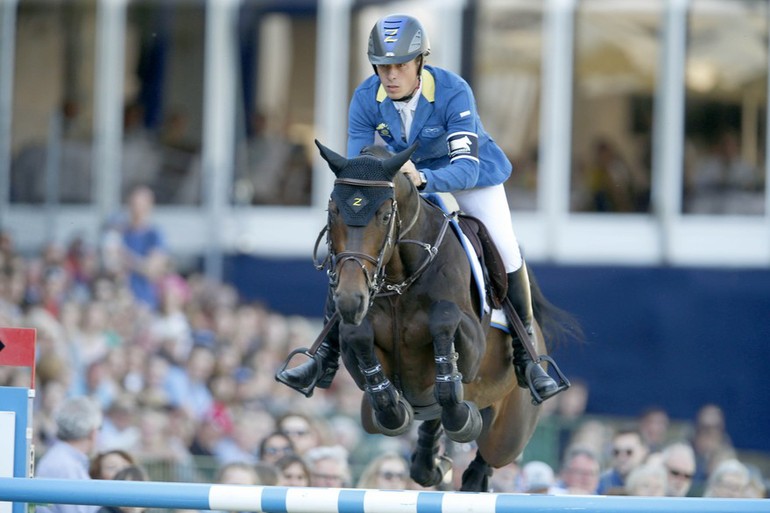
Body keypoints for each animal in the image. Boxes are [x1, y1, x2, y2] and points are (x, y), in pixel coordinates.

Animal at [304, 141, 572, 492]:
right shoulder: (360, 366)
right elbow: (358, 339)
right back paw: (432, 461)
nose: (350, 299)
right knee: (433, 424)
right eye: (332, 211)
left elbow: (444, 319)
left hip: (509, 434)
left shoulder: (472, 346)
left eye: (386, 215)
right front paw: (397, 408)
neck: (399, 279)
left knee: (488, 455)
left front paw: (458, 407)